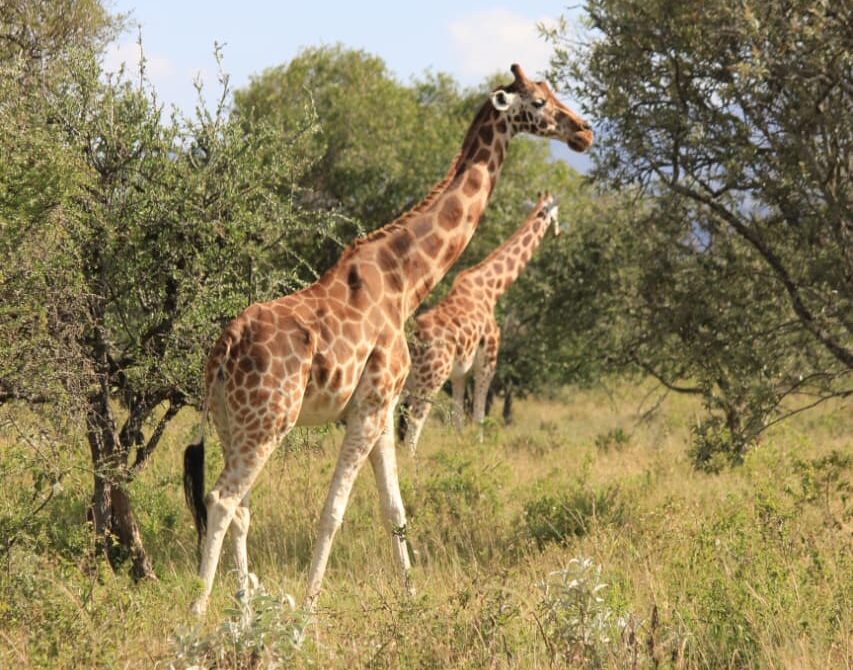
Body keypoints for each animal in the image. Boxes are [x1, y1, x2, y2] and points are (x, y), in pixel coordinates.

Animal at [398, 192, 561, 453]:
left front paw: (460, 451)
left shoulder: (459, 374)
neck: (492, 288)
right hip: (430, 378)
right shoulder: (487, 362)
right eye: (556, 212)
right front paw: (479, 450)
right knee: (413, 425)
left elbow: (457, 420)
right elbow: (479, 416)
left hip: (403, 379)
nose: (558, 232)